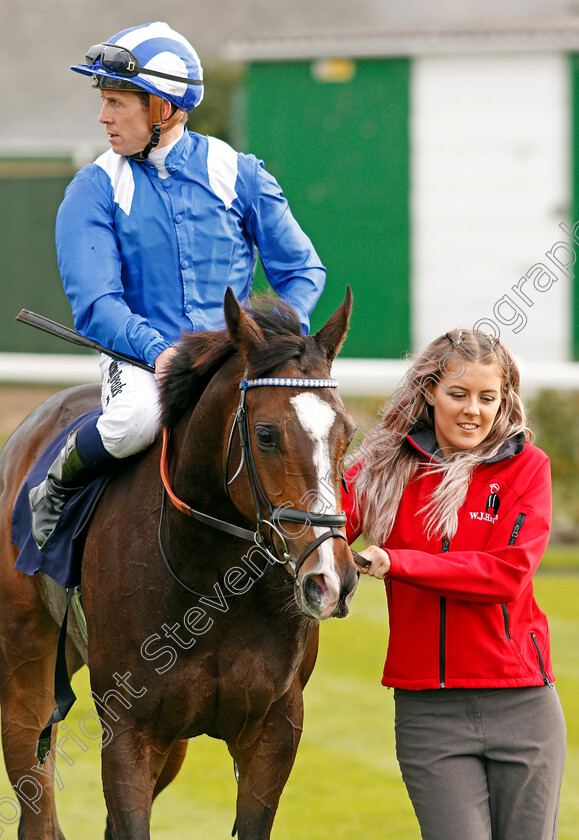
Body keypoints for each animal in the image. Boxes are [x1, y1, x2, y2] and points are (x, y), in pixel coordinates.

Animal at [0, 286, 360, 836]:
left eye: (348, 433)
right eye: (267, 434)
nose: (331, 579)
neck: (213, 585)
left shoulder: (274, 728)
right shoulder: (129, 729)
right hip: (25, 670)